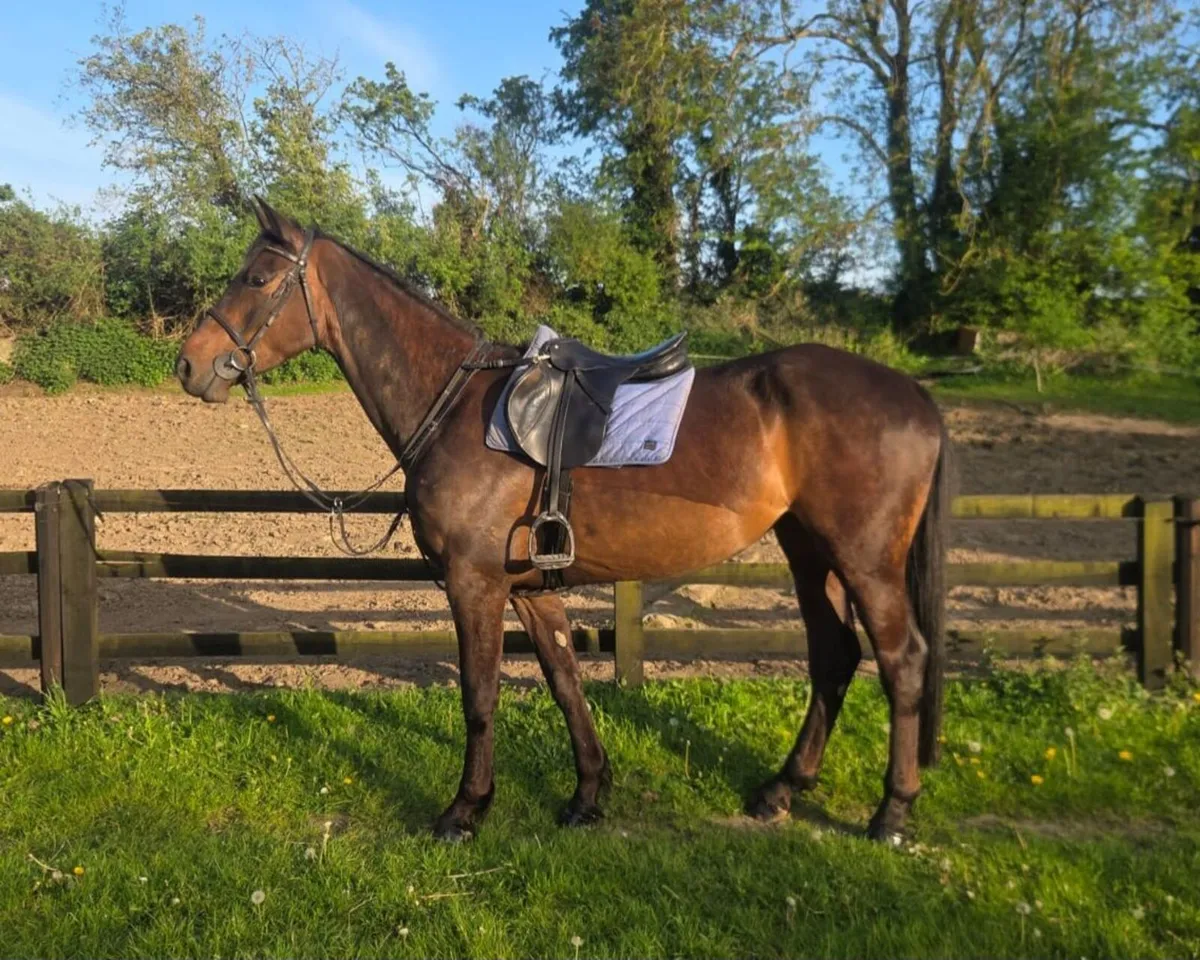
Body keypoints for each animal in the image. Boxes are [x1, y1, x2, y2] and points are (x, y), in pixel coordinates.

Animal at [175, 197, 950, 844]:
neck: (455, 405)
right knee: (834, 655)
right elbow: (565, 680)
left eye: (255, 278)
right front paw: (587, 795)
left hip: (866, 560)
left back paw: (892, 813)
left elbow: (480, 695)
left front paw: (465, 810)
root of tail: (913, 394)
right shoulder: (531, 590)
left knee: (901, 660)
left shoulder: (475, 586)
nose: (188, 365)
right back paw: (783, 790)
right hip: (809, 550)